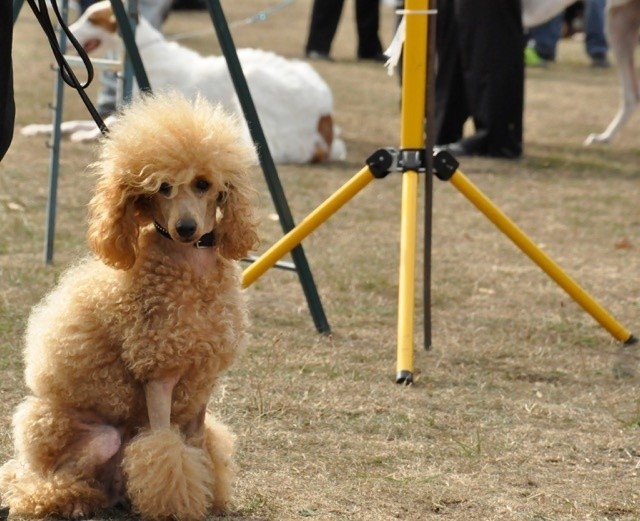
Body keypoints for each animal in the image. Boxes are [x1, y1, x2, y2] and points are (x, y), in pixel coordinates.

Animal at [21, 0, 344, 162]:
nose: (60, 32)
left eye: (91, 19)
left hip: (254, 84)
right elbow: (72, 122)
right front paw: (40, 128)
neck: (147, 55)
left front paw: (87, 135)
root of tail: (326, 115)